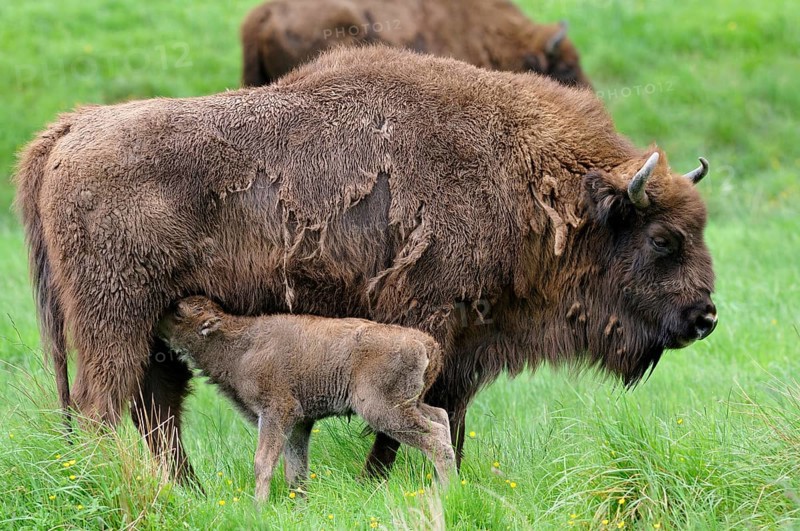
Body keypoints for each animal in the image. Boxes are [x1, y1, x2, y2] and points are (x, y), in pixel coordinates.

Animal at [16, 46, 716, 482]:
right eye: (663, 240)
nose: (705, 317)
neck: (530, 180)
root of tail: (71, 131)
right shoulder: (436, 326)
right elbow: (410, 419)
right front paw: (382, 480)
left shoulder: (465, 347)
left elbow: (448, 417)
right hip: (115, 319)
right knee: (106, 407)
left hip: (156, 325)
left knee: (155, 409)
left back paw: (189, 494)